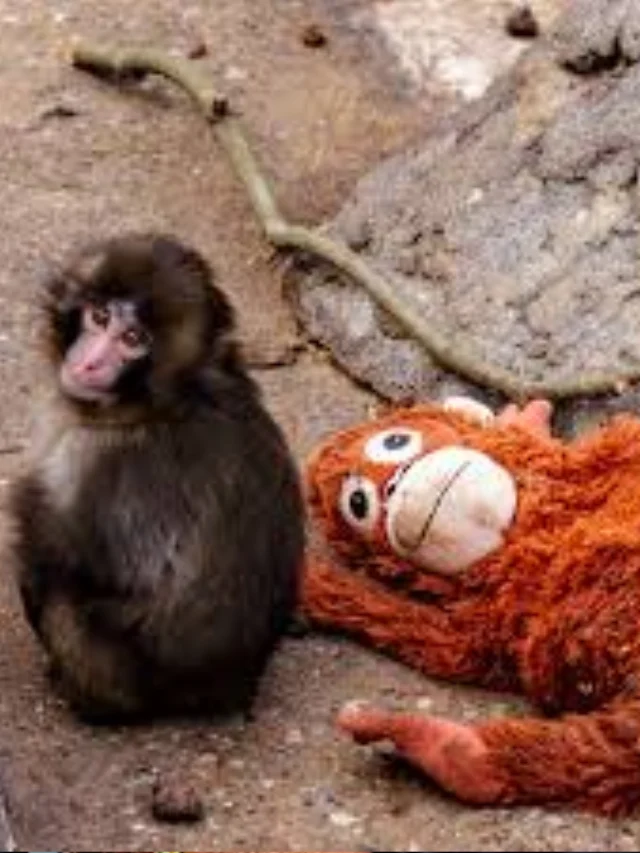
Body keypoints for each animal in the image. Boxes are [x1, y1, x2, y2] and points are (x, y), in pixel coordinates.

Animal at [8, 232, 305, 722]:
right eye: (100, 316)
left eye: (132, 339)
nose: (89, 363)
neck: (167, 403)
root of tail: (230, 689)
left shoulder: (94, 459)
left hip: (114, 680)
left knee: (55, 582)